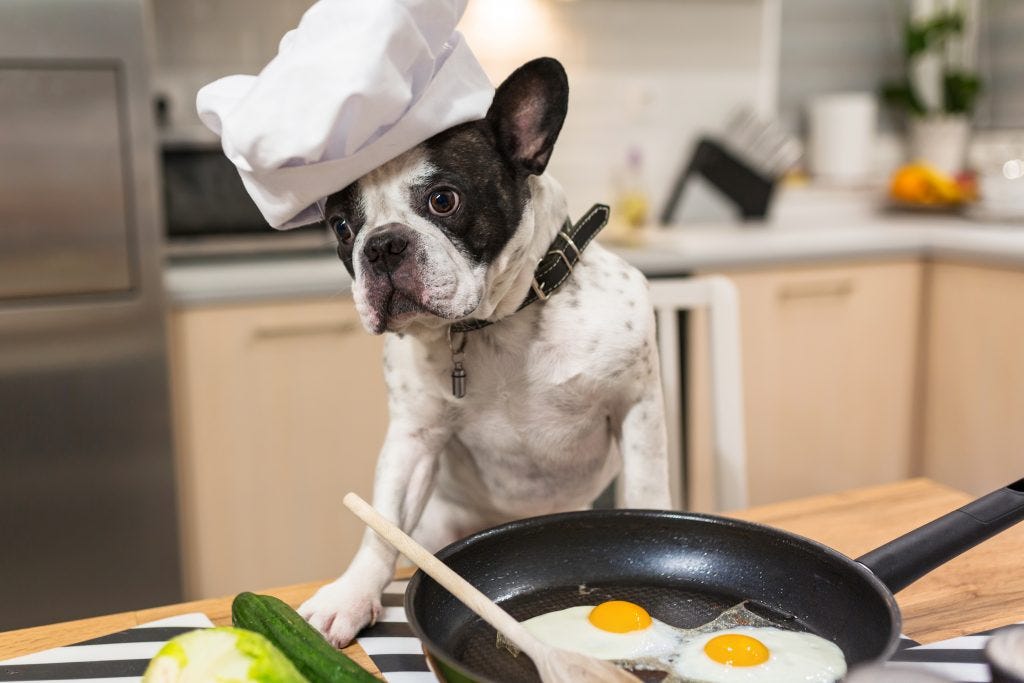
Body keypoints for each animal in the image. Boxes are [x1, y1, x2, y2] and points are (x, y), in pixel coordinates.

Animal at [296, 57, 671, 647]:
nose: (381, 244)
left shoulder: (637, 410)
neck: (499, 323)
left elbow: (648, 492)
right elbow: (382, 523)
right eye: (341, 227)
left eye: (443, 199)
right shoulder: (414, 438)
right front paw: (351, 595)